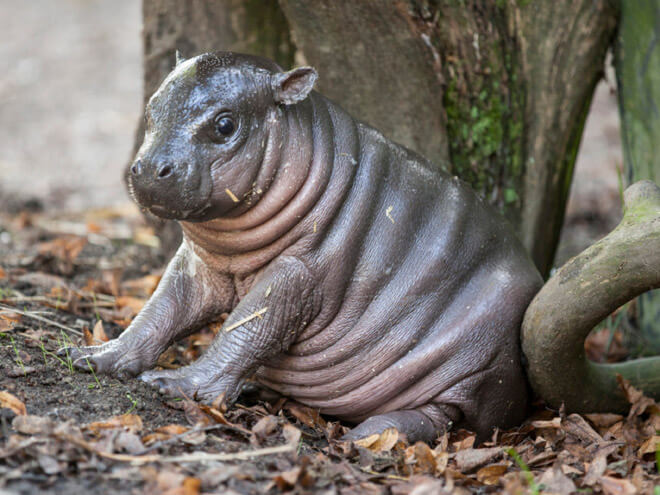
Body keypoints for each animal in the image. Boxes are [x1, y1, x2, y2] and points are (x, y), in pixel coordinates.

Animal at [65, 52, 540, 444]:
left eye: (225, 124)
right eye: (151, 107)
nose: (148, 168)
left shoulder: (300, 274)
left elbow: (247, 328)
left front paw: (173, 384)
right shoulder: (199, 264)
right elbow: (160, 311)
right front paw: (90, 356)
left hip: (478, 366)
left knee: (441, 416)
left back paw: (364, 439)